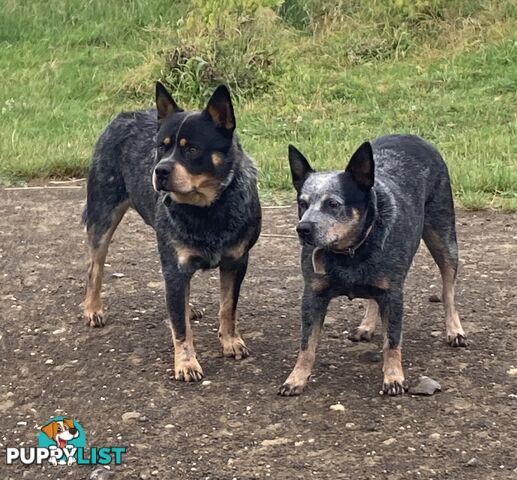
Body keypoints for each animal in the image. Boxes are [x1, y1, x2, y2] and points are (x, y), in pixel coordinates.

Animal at [280, 135, 466, 398]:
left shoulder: (393, 295)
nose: (303, 229)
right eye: (302, 203)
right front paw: (296, 377)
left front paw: (394, 377)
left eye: (333, 204)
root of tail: (411, 136)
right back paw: (366, 325)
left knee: (448, 288)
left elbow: (392, 341)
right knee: (372, 297)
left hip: (444, 237)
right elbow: (307, 344)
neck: (350, 253)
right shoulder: (313, 295)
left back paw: (454, 330)